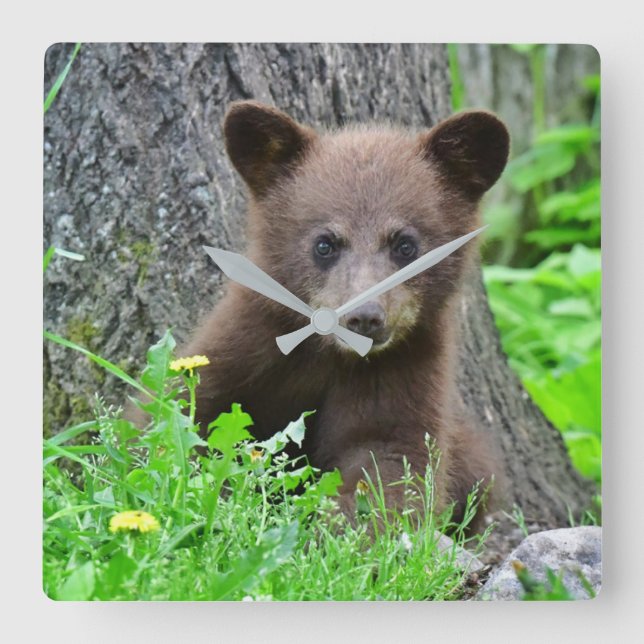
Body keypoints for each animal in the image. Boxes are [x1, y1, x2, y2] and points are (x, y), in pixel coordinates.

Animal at [174, 101, 510, 526]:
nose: (364, 317)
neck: (328, 353)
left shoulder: (403, 371)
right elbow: (188, 412)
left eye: (405, 244)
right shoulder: (246, 345)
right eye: (325, 243)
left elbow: (390, 462)